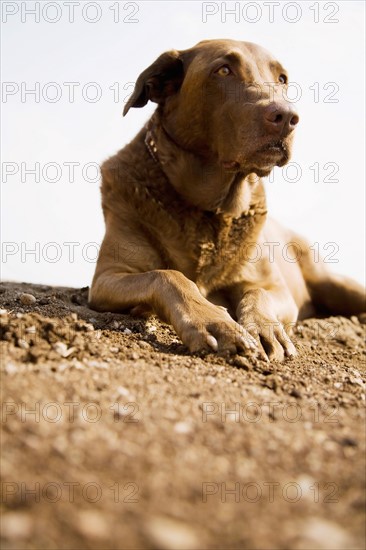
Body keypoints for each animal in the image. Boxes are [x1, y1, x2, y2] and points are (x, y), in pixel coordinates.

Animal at [89, 40, 366, 362]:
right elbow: (167, 275)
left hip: (334, 282)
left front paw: (265, 329)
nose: (287, 117)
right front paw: (214, 322)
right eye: (223, 70)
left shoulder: (276, 287)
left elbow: (257, 292)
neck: (212, 210)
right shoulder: (107, 278)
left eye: (282, 78)